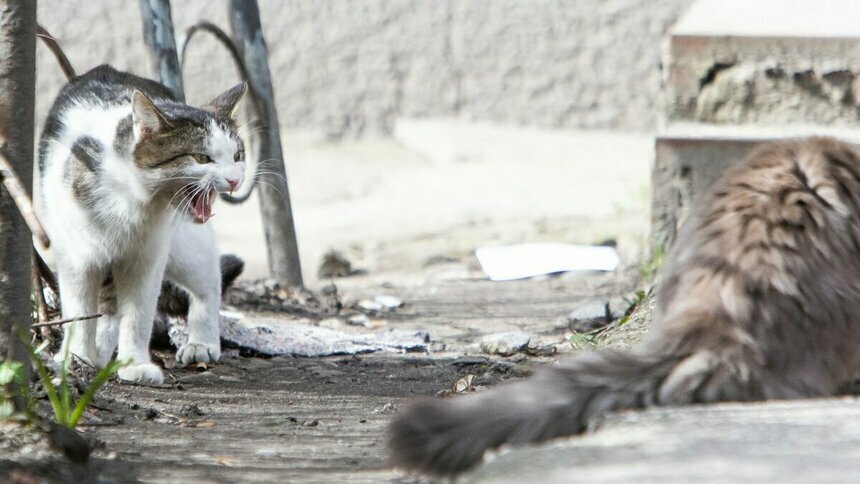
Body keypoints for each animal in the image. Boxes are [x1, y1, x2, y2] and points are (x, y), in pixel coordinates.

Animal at [40, 65, 249, 386]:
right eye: (202, 157)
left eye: (237, 155)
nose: (235, 180)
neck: (134, 201)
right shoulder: (77, 259)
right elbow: (79, 311)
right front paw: (77, 358)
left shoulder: (147, 259)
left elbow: (138, 315)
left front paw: (134, 365)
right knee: (107, 305)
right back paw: (98, 353)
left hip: (184, 245)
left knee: (208, 282)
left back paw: (202, 342)